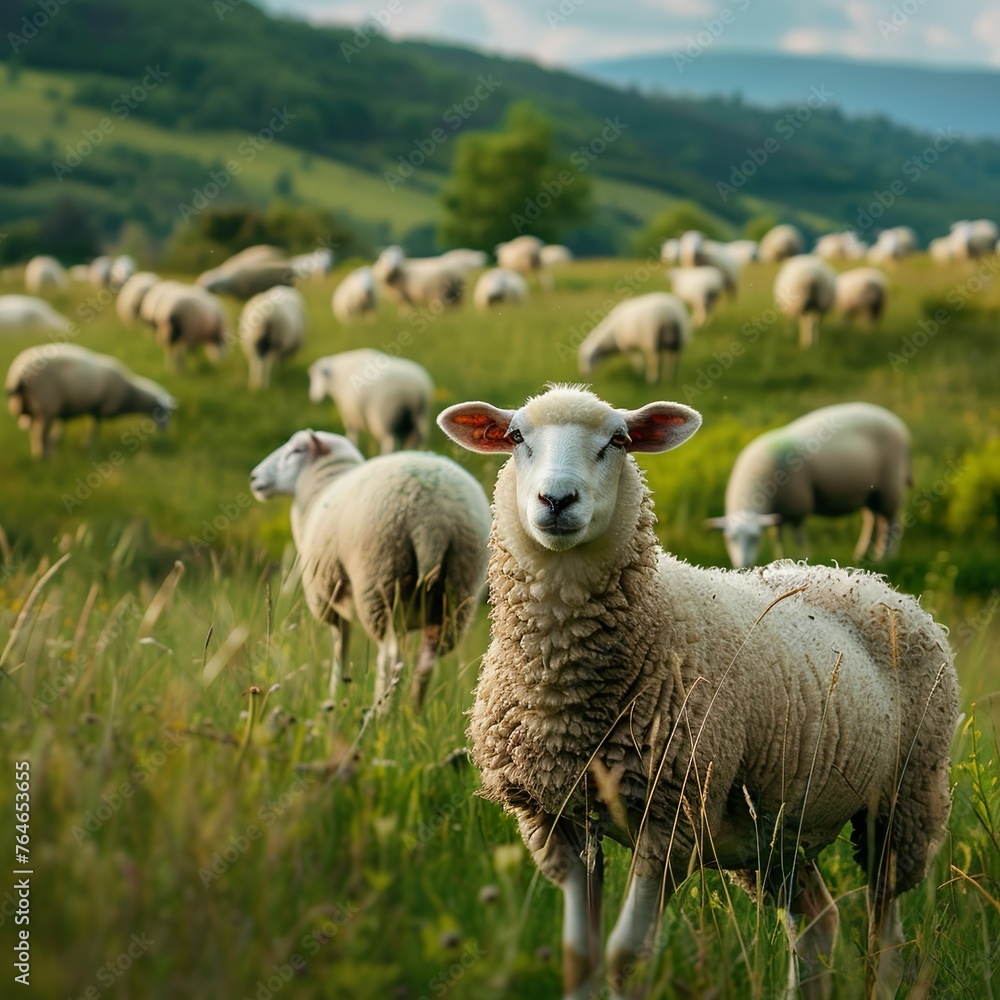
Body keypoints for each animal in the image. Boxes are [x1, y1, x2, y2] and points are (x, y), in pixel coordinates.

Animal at [6, 343, 176, 458]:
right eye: (162, 412)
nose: (165, 430)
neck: (130, 393)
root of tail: (19, 373)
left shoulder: (83, 408)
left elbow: (68, 427)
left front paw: (61, 442)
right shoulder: (99, 408)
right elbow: (95, 428)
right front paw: (87, 445)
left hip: (31, 408)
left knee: (34, 433)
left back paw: (41, 452)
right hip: (46, 406)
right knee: (39, 434)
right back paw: (44, 457)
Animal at [249, 429, 490, 708]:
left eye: (296, 451)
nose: (254, 478)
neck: (320, 487)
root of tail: (432, 521)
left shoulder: (328, 600)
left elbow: (340, 648)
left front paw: (335, 694)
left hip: (380, 577)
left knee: (390, 656)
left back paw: (381, 709)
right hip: (458, 588)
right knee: (427, 659)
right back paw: (413, 710)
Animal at [705, 402, 911, 568]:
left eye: (755, 538)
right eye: (729, 538)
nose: (743, 565)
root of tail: (898, 425)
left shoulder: (797, 505)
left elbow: (798, 537)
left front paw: (803, 559)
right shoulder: (779, 513)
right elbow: (777, 537)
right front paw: (780, 558)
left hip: (890, 486)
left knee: (891, 522)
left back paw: (886, 558)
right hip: (872, 493)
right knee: (873, 518)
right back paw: (863, 553)